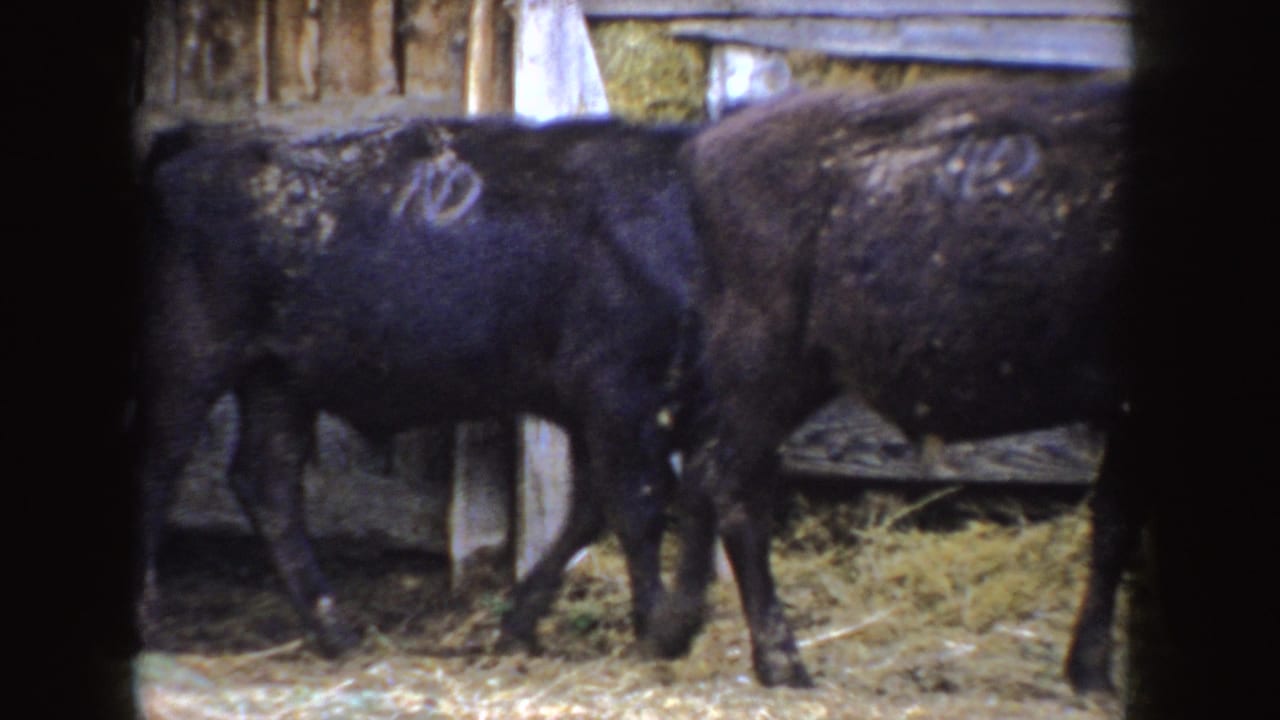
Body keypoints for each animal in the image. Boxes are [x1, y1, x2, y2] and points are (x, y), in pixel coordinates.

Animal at [135, 113, 708, 657]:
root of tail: (187, 148)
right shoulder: (619, 397)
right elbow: (637, 506)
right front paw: (662, 630)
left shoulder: (596, 413)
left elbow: (592, 511)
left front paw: (519, 626)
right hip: (191, 365)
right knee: (160, 468)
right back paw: (149, 620)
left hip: (276, 380)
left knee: (266, 480)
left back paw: (337, 634)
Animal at [644, 79, 1138, 694]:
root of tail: (709, 144)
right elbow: (1116, 529)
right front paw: (1093, 673)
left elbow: (1112, 525)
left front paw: (1087, 669)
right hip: (764, 369)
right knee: (732, 487)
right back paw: (783, 664)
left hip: (781, 377)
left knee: (702, 471)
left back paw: (676, 629)